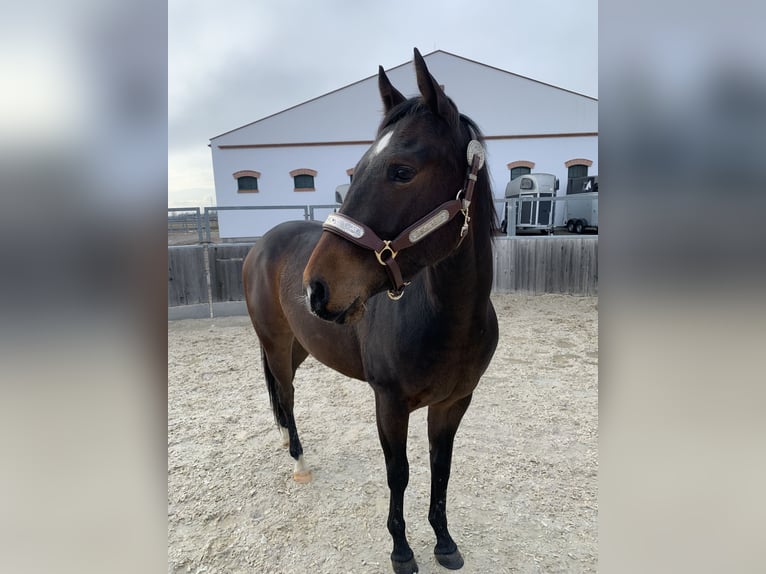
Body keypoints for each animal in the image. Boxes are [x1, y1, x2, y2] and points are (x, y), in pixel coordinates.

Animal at [242, 48, 499, 574]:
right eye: (358, 166)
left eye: (401, 170)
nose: (316, 288)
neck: (452, 322)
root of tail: (261, 244)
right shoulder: (389, 403)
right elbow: (398, 473)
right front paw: (401, 550)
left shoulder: (454, 403)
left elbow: (441, 470)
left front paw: (444, 541)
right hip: (275, 344)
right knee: (286, 394)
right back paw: (298, 459)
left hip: (301, 345)